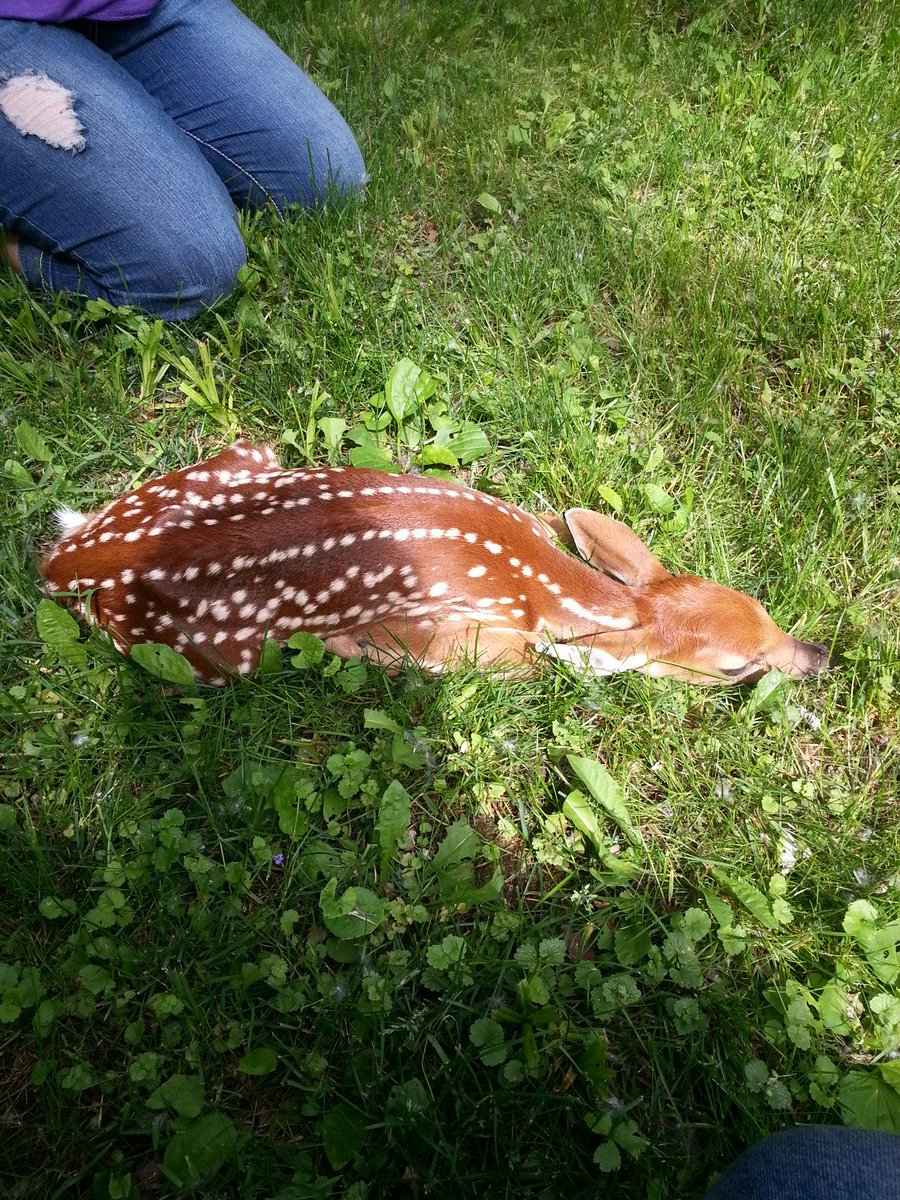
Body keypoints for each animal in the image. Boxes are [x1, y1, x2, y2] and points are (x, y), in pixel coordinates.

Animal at [39, 440, 831, 687]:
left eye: (761, 607)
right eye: (735, 668)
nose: (820, 656)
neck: (545, 586)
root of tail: (76, 559)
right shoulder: (465, 631)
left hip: (239, 457)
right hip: (217, 653)